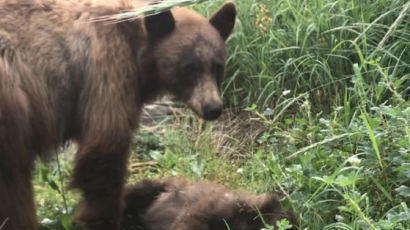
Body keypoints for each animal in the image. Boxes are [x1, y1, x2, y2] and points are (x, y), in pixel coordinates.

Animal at [0, 0, 235, 230]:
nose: (213, 107)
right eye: (188, 67)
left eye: (217, 66)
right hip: (13, 106)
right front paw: (104, 217)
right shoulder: (108, 70)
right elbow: (105, 148)